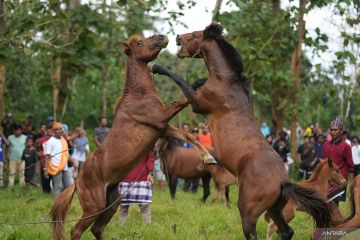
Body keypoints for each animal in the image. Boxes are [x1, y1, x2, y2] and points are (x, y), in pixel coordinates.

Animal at [50, 34, 214, 240]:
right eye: (139, 43)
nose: (163, 37)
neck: (139, 96)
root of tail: (77, 182)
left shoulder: (163, 128)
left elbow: (187, 135)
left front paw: (209, 157)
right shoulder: (161, 119)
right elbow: (183, 102)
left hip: (112, 202)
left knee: (97, 228)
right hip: (94, 206)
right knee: (77, 230)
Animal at [148, 23, 332, 240]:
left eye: (194, 34)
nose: (177, 37)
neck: (226, 80)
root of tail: (283, 183)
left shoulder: (199, 104)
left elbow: (179, 79)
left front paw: (157, 67)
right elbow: (194, 83)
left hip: (248, 210)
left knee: (253, 232)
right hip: (274, 210)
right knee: (286, 231)